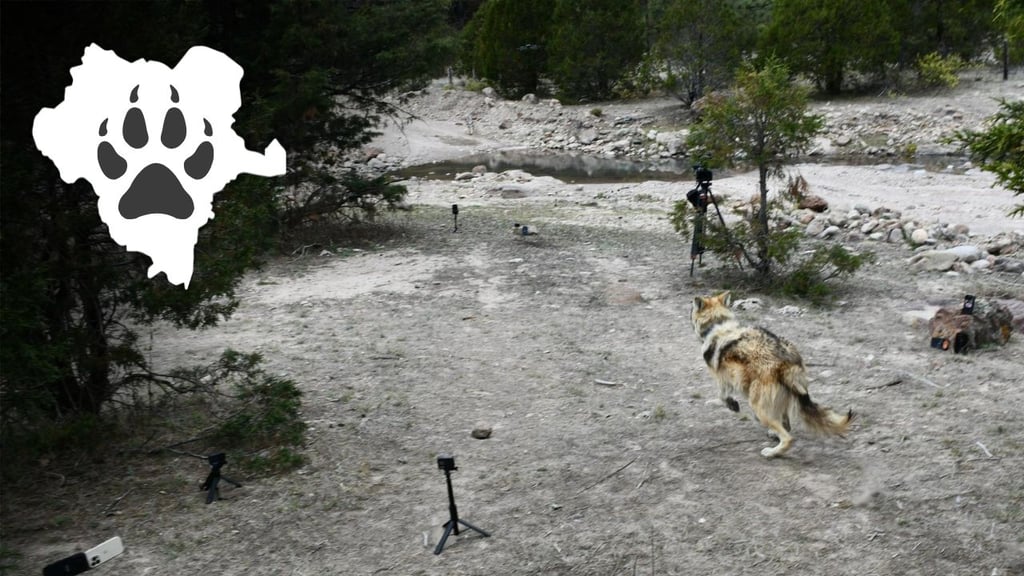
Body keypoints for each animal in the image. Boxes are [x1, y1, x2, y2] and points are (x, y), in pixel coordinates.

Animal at [691, 291, 854, 458]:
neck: (717, 324)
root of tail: (785, 363)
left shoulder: (722, 378)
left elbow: (722, 396)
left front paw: (732, 405)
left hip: (758, 407)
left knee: (788, 437)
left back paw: (771, 452)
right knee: (786, 426)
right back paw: (773, 437)